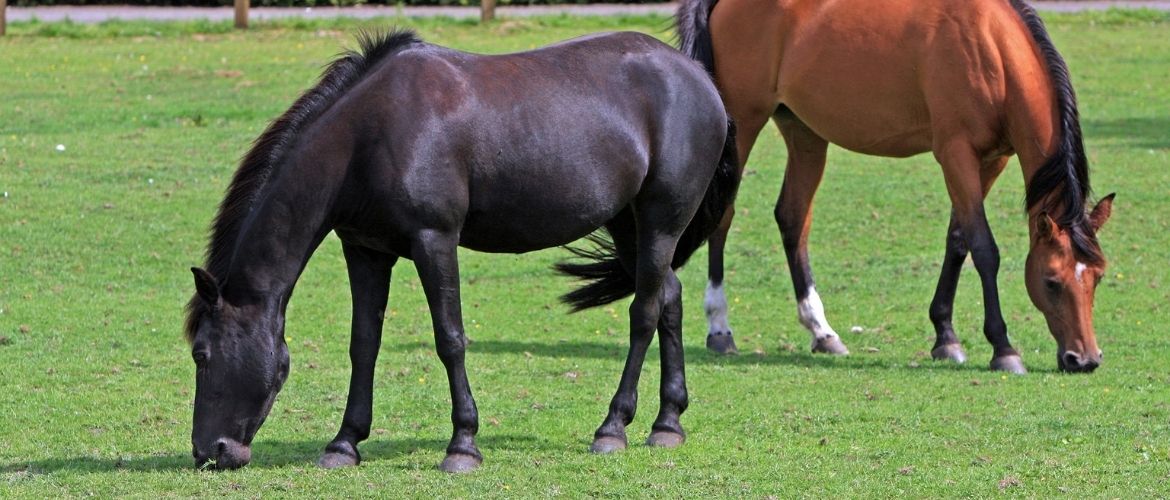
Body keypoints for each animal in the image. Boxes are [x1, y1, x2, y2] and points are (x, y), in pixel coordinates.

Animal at [180, 29, 739, 470]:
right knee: (668, 298)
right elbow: (364, 344)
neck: (368, 135)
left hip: (661, 220)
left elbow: (450, 339)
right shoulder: (366, 251)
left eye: (201, 354)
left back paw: (613, 428)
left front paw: (463, 445)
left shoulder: (434, 240)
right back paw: (667, 423)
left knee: (643, 312)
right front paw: (344, 444)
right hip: (629, 225)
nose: (210, 452)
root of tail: (699, 78)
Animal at [673, 0, 1109, 374]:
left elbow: (958, 239)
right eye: (1051, 281)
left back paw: (822, 331)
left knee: (793, 218)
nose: (1084, 359)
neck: (991, 49)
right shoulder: (956, 154)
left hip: (804, 132)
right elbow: (984, 248)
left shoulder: (992, 160)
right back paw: (720, 328)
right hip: (744, 121)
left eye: (1098, 277)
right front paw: (1003, 348)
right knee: (725, 215)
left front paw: (945, 337)